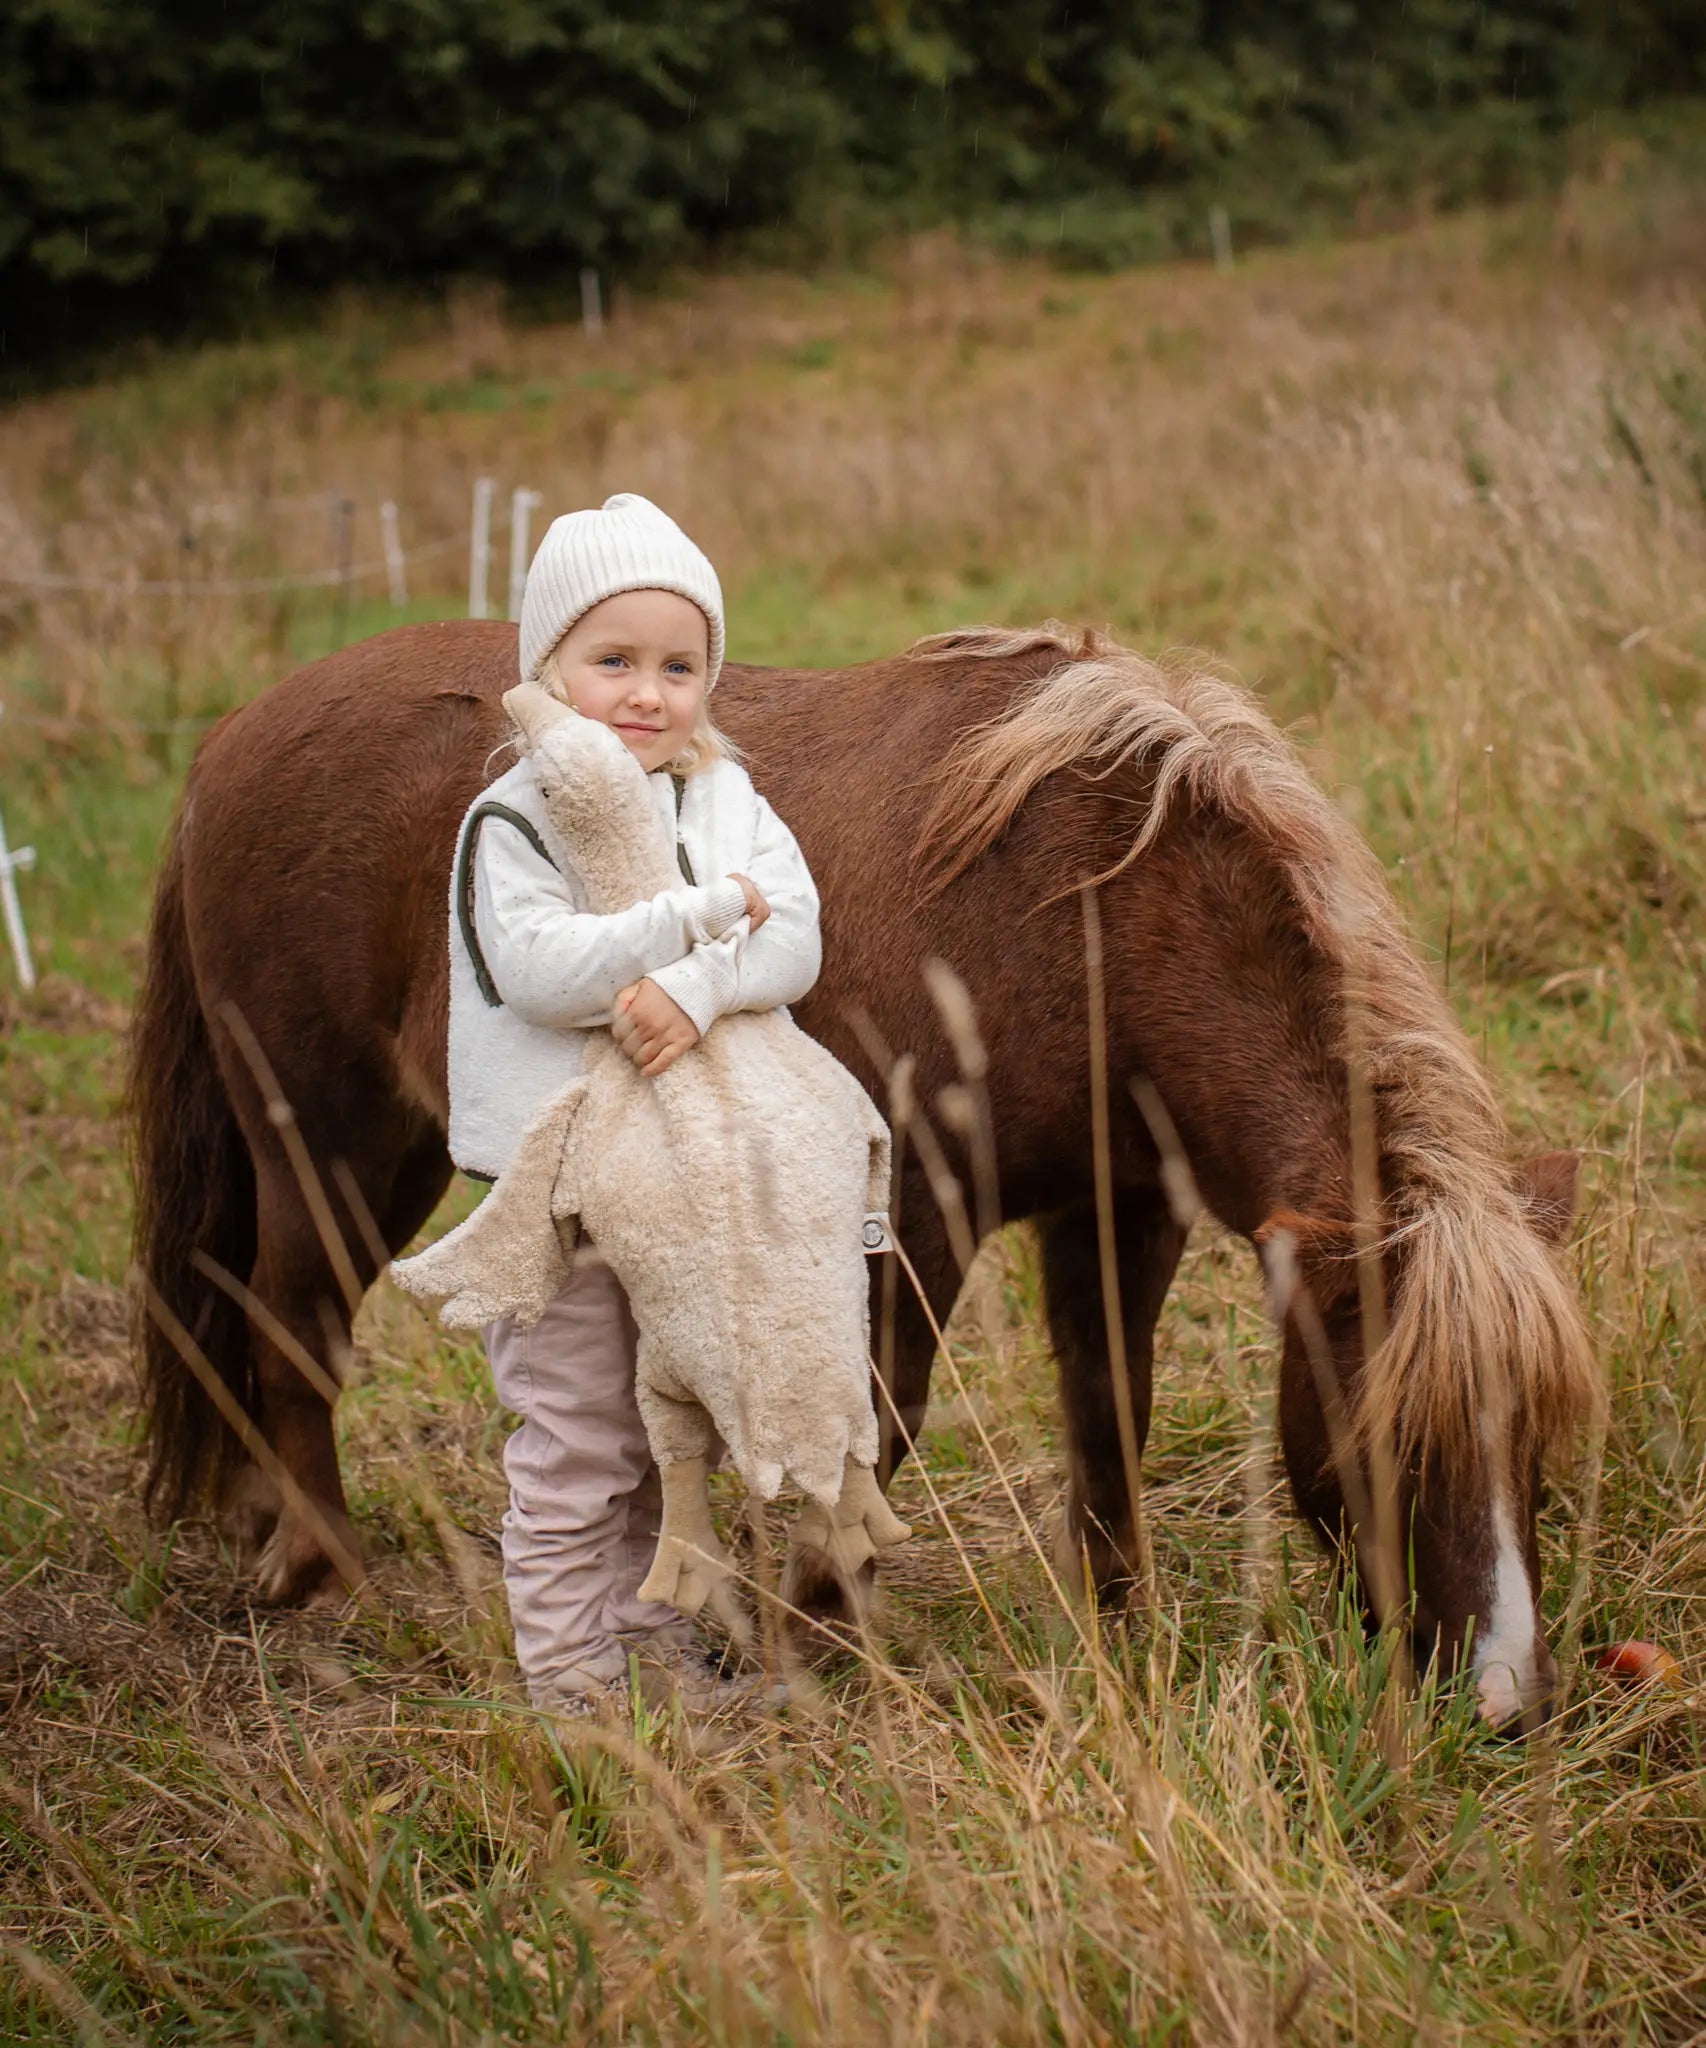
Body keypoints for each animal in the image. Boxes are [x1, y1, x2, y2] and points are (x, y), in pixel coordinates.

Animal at [128, 618, 1601, 1726]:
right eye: (1392, 1434)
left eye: (1533, 1434)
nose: (1506, 1702)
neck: (1086, 901)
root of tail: (225, 745)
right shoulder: (917, 1218)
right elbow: (873, 1424)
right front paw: (820, 1643)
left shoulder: (1119, 1210)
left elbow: (1108, 1409)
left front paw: (1116, 1624)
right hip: (326, 1136)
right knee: (292, 1325)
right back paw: (332, 1577)